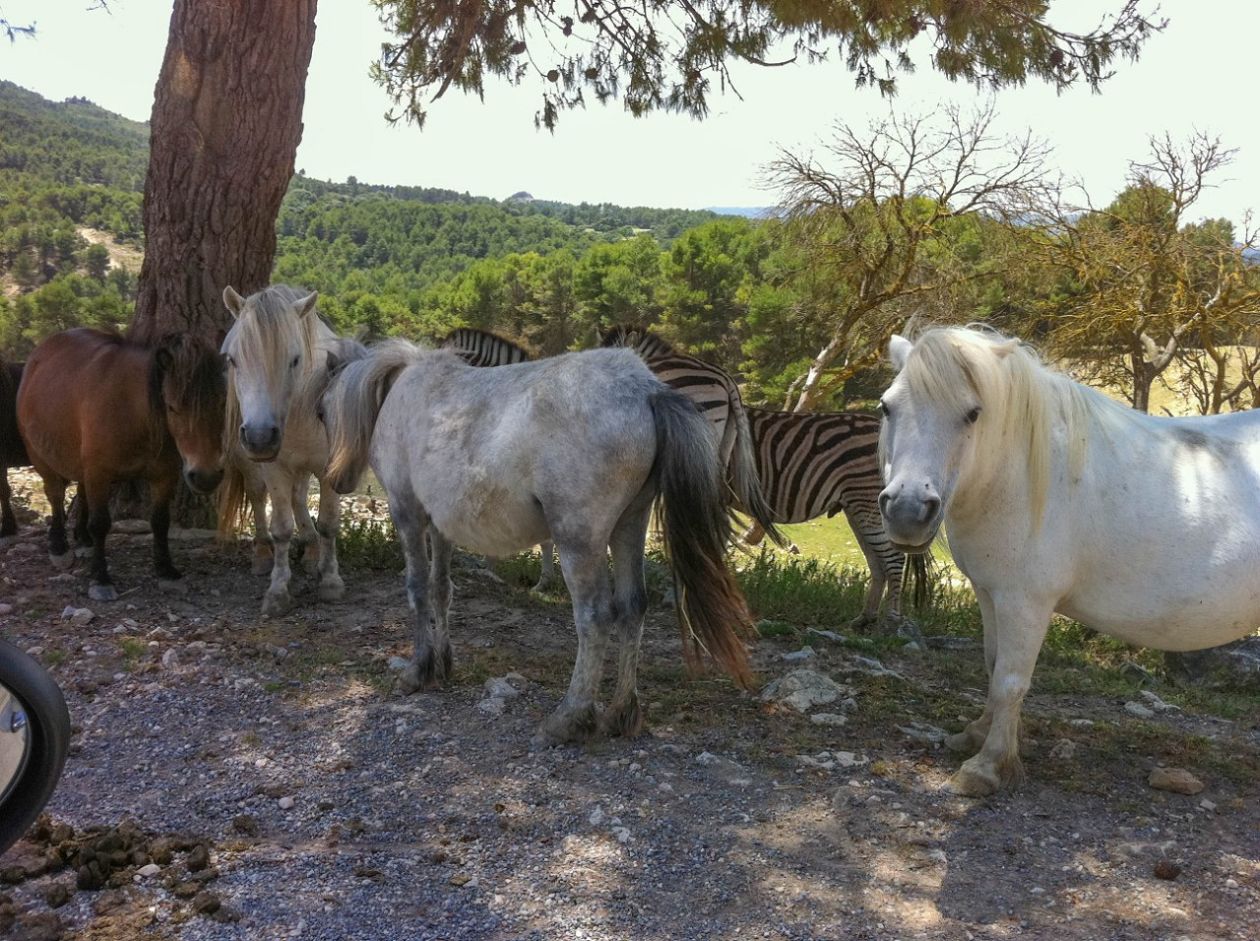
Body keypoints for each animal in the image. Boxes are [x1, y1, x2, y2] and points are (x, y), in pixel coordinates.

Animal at [15, 327, 228, 599]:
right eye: (172, 407)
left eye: (221, 402)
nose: (206, 476)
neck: (133, 411)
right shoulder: (99, 473)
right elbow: (100, 523)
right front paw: (100, 578)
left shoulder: (164, 475)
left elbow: (160, 522)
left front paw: (166, 570)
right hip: (40, 456)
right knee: (55, 495)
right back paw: (59, 546)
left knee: (80, 494)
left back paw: (83, 540)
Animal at [216, 283, 362, 614]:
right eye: (232, 360)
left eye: (295, 360)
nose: (260, 437)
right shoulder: (274, 467)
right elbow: (281, 527)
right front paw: (278, 590)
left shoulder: (327, 469)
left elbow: (328, 524)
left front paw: (330, 580)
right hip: (252, 462)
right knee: (259, 497)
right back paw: (262, 554)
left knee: (300, 498)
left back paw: (311, 551)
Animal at [320, 337, 750, 745]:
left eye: (321, 411)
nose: (336, 481)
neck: (405, 389)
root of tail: (646, 388)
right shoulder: (441, 525)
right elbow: (441, 589)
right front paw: (443, 663)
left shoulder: (407, 513)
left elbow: (418, 589)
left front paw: (418, 670)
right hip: (630, 526)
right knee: (632, 608)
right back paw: (620, 714)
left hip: (579, 540)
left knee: (595, 616)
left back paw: (570, 718)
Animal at [604, 330, 932, 632]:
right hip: (856, 505)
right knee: (877, 561)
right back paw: (865, 619)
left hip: (866, 502)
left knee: (893, 559)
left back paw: (890, 622)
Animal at [882, 327, 1260, 801]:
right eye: (886, 406)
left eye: (972, 414)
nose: (908, 511)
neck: (1019, 476)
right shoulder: (991, 593)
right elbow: (993, 663)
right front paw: (976, 734)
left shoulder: (1026, 602)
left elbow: (1010, 680)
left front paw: (987, 767)